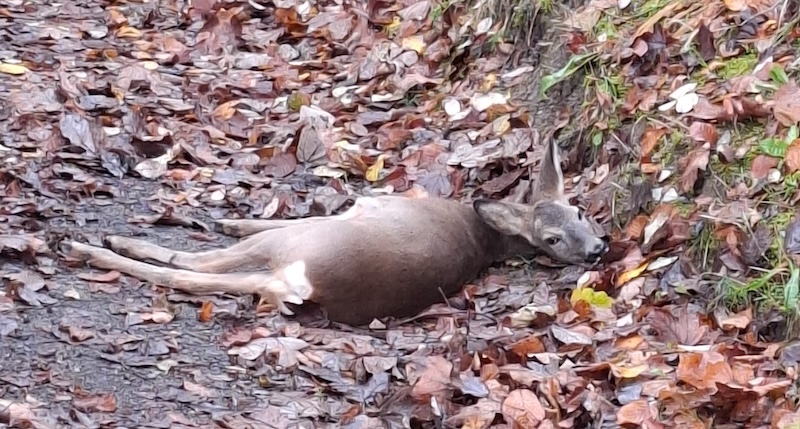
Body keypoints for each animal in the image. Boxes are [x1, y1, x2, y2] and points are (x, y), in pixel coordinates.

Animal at [62, 139, 609, 326]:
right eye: (574, 216)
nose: (598, 249)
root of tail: (313, 285)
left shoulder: (363, 204)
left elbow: (269, 220)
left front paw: (226, 218)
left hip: (293, 247)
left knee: (190, 266)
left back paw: (93, 245)